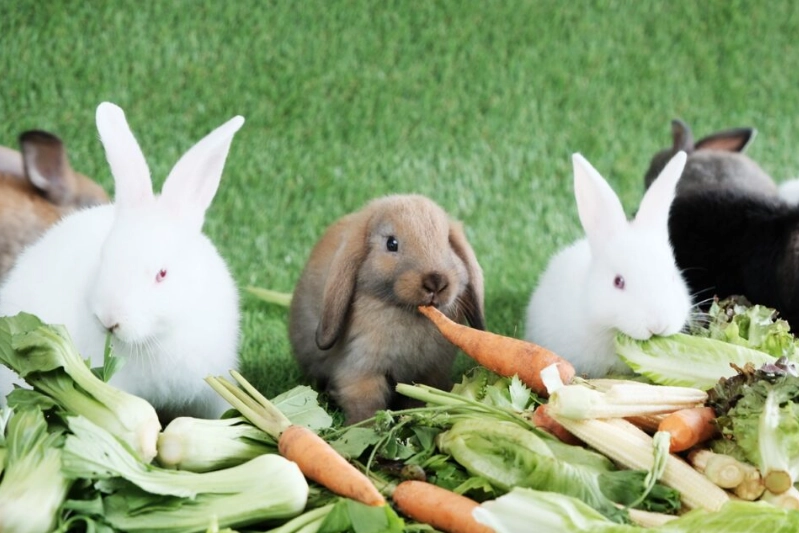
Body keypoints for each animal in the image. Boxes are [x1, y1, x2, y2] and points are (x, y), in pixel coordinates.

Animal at [288, 194, 485, 424]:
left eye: (448, 242)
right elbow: (366, 405)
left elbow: (420, 399)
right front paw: (365, 429)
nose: (435, 282)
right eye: (392, 243)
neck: (409, 313)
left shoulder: (430, 373)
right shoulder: (361, 370)